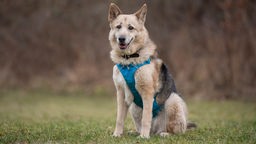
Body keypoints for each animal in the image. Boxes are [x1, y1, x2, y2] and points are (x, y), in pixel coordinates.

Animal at [108, 3, 196, 138]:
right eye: (118, 27)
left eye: (130, 28)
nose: (121, 39)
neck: (129, 60)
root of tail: (155, 131)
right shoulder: (121, 94)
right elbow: (119, 118)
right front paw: (117, 134)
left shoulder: (147, 93)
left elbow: (146, 117)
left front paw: (143, 137)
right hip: (133, 106)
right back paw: (137, 132)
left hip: (173, 100)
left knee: (176, 131)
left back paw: (162, 133)